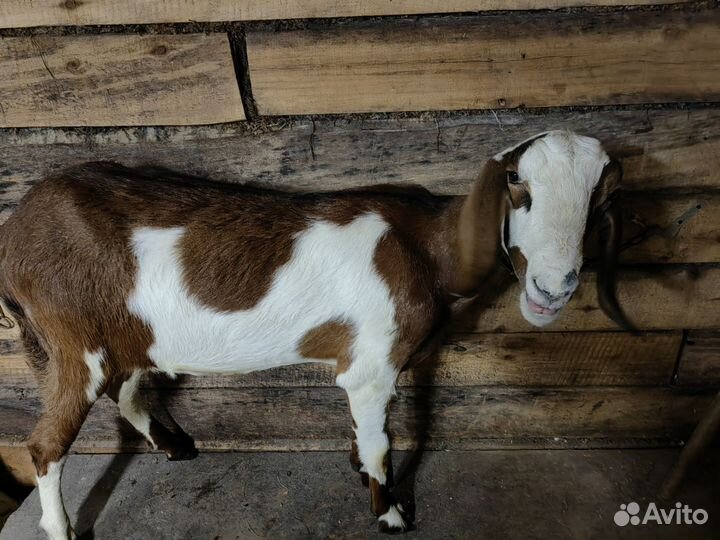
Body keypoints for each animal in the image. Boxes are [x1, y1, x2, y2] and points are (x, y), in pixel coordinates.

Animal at [0, 130, 632, 538]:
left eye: (601, 197)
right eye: (517, 184)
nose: (553, 287)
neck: (425, 247)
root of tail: (14, 233)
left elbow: (363, 434)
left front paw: (359, 471)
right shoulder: (372, 368)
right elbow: (381, 441)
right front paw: (390, 513)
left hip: (126, 335)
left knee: (126, 389)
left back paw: (177, 445)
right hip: (73, 342)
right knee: (45, 445)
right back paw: (63, 529)